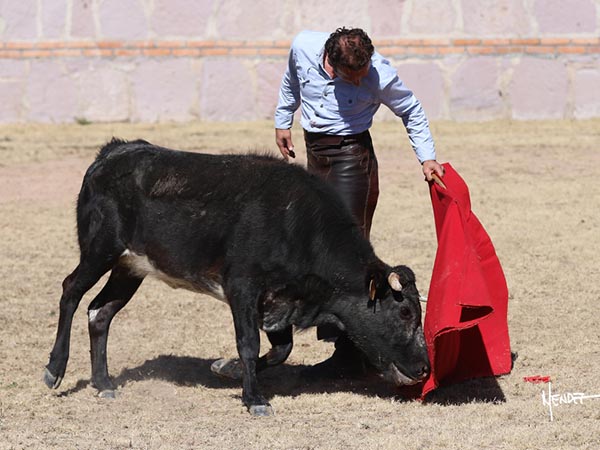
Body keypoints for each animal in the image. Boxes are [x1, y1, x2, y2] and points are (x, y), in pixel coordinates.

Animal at [44, 139, 428, 416]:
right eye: (405, 312)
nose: (425, 369)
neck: (296, 225)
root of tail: (112, 152)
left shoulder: (279, 301)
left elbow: (281, 349)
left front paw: (225, 368)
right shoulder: (242, 287)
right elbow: (249, 343)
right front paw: (254, 399)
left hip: (129, 267)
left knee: (101, 312)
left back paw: (103, 383)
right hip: (101, 249)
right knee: (71, 291)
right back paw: (54, 369)